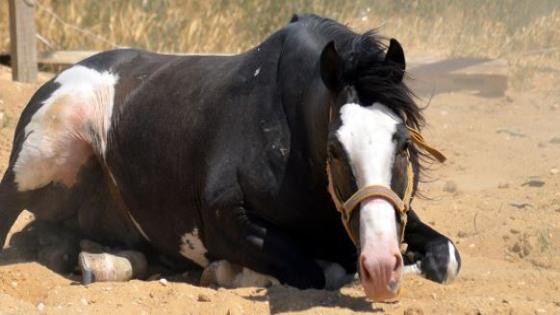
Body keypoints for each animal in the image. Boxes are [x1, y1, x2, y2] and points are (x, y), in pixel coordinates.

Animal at [0, 13, 460, 302]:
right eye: (334, 148)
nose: (382, 268)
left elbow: (447, 257)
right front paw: (225, 272)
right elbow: (316, 272)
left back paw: (99, 259)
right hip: (34, 164)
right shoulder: (227, 219)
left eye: (404, 143)